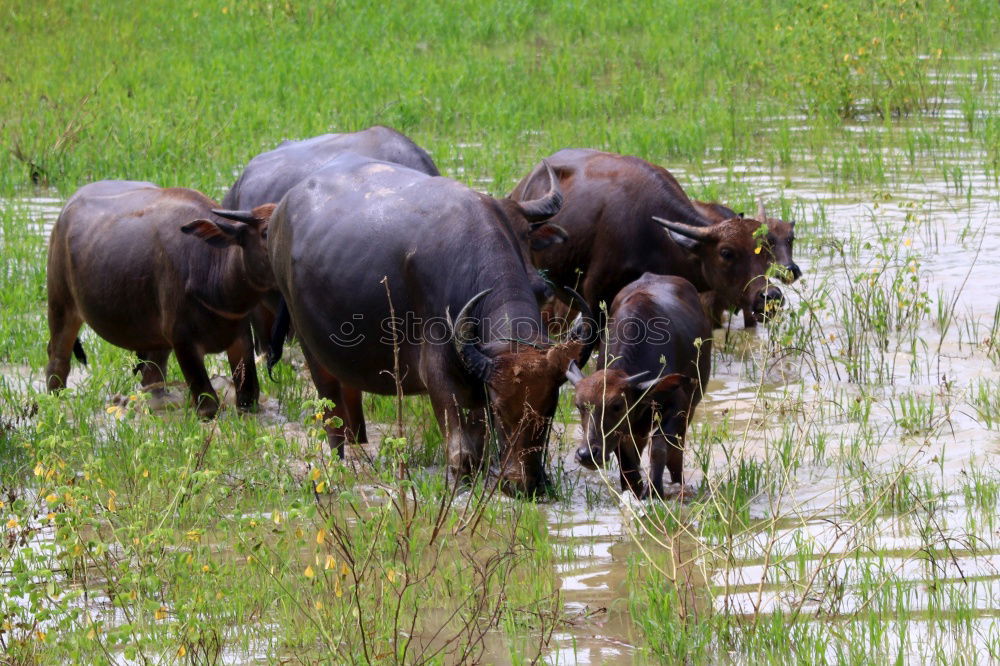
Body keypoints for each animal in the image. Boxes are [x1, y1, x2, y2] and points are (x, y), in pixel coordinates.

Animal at [45, 178, 274, 416]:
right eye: (265, 232)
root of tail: (64, 214)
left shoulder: (241, 337)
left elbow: (249, 398)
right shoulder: (184, 341)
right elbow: (208, 405)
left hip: (156, 336)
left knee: (152, 375)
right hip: (61, 304)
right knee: (57, 361)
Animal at [270, 152, 584, 492]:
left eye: (549, 409)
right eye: (501, 410)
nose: (524, 484)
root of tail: (280, 212)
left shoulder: (477, 383)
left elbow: (480, 449)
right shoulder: (440, 376)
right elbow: (462, 452)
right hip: (310, 347)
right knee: (330, 410)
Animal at [564, 272, 712, 496]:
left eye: (617, 406)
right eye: (579, 405)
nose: (587, 454)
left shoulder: (678, 406)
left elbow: (659, 447)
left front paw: (654, 489)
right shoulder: (626, 430)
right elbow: (627, 461)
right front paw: (634, 490)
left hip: (689, 411)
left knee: (676, 453)